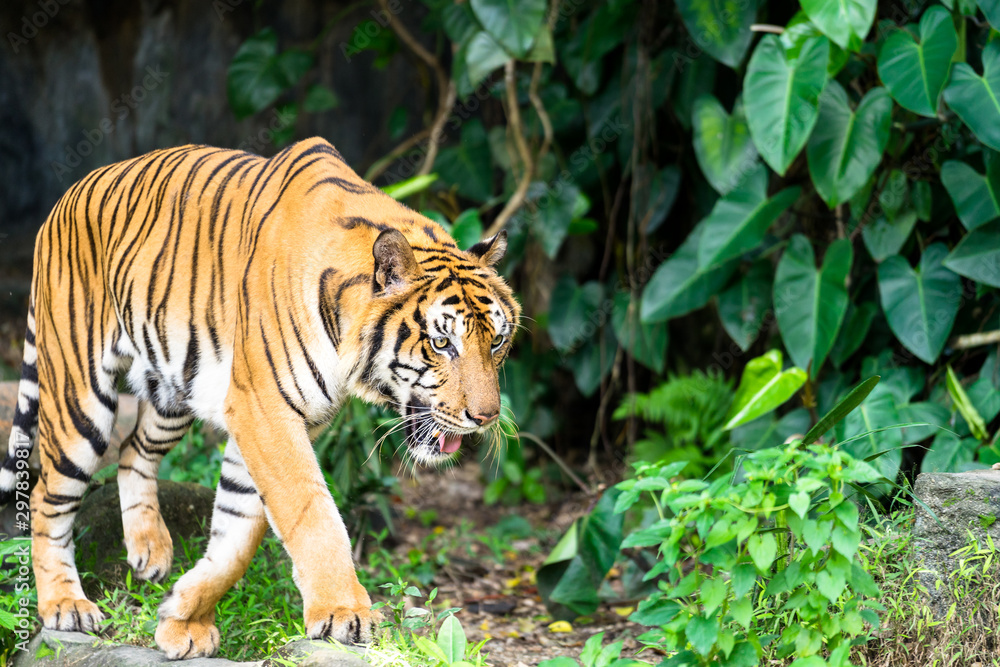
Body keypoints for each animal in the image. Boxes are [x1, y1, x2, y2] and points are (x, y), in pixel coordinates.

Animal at [0, 137, 520, 658]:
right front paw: (344, 613)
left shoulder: (269, 418)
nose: (486, 416)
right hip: (79, 399)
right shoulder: (265, 413)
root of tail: (67, 196)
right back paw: (64, 605)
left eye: (497, 341)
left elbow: (237, 537)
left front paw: (181, 618)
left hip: (172, 392)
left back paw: (150, 550)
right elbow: (311, 513)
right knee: (47, 493)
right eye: (442, 342)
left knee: (132, 452)